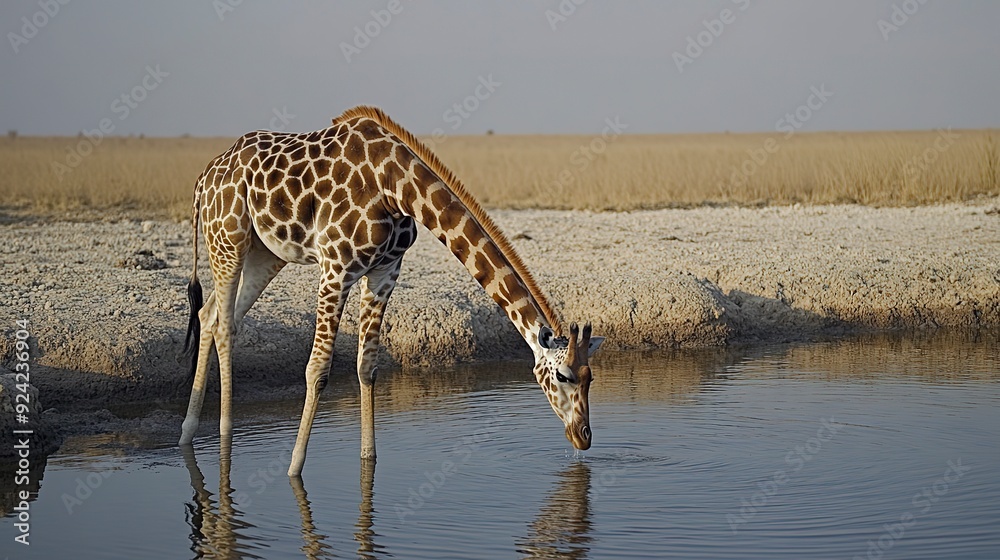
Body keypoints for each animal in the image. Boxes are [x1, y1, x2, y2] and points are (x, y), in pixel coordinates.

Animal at [178, 105, 606, 476]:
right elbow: (317, 369)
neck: (394, 188)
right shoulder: (335, 269)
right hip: (228, 239)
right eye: (564, 376)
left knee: (211, 314)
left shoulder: (385, 271)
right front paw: (294, 469)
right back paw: (224, 434)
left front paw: (369, 460)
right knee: (223, 325)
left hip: (264, 253)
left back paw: (187, 433)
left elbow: (367, 367)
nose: (583, 438)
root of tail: (202, 178)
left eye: (591, 378)